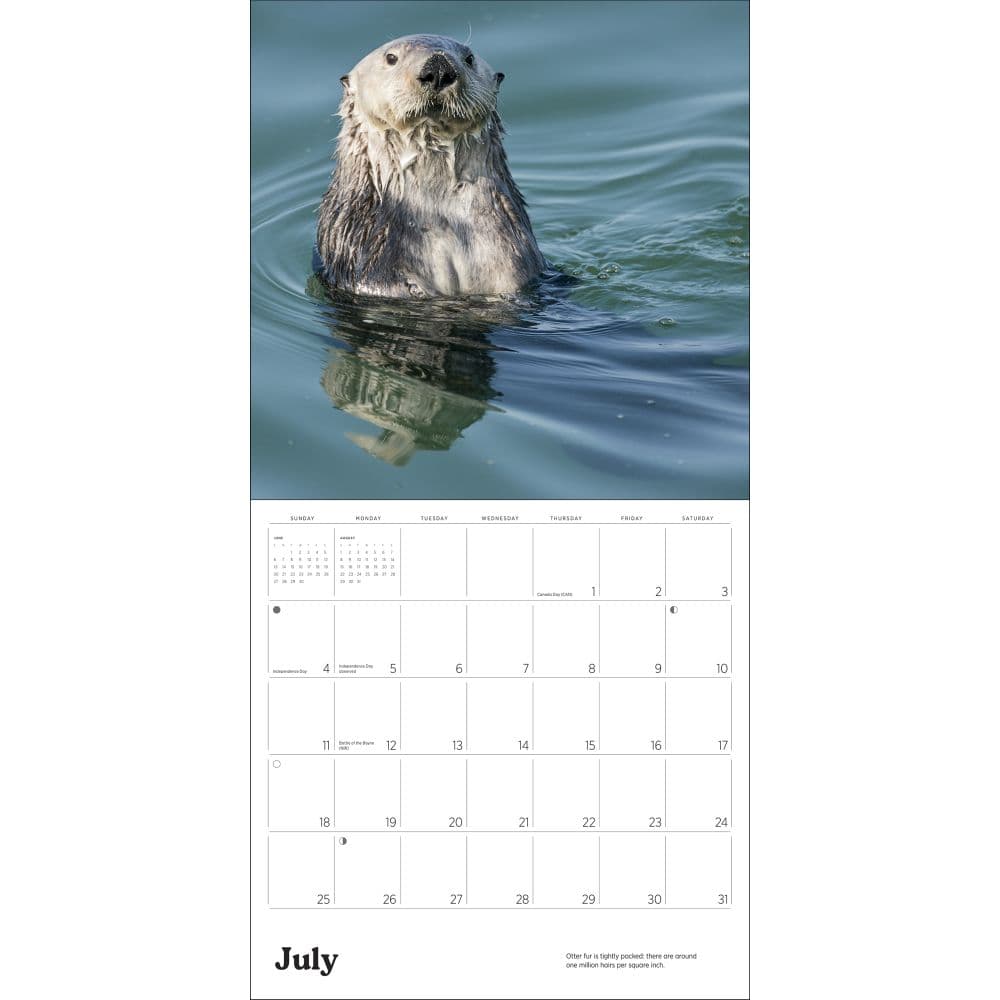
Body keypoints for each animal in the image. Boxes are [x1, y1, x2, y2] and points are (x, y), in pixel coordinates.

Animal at [316, 34, 545, 298]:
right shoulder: (366, 247)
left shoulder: (509, 242)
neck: (438, 217)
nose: (438, 68)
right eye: (391, 58)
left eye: (469, 58)